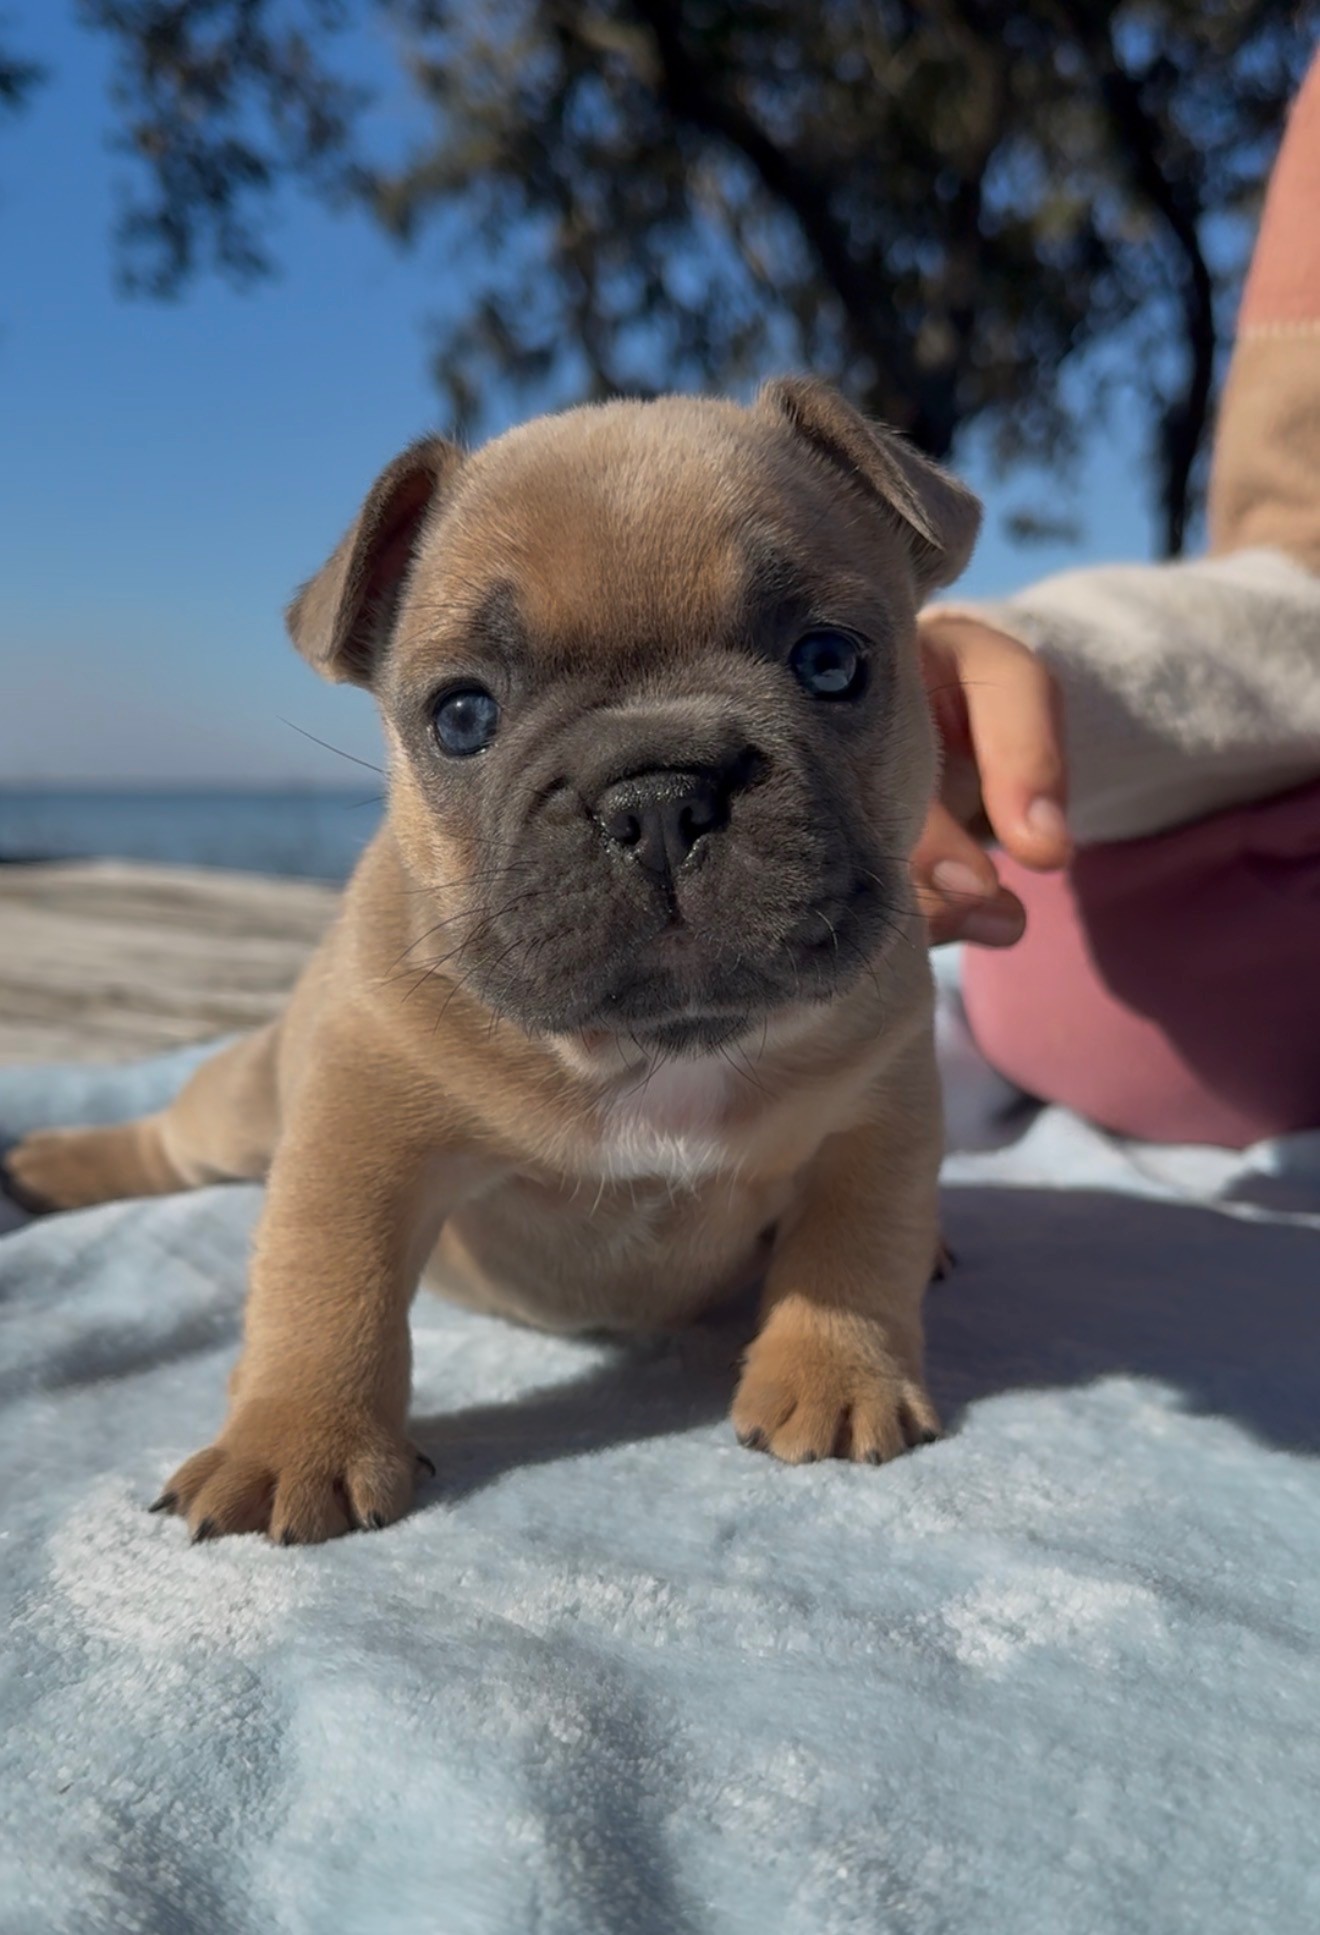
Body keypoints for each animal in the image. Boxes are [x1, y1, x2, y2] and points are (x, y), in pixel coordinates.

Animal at [5, 377, 980, 1544]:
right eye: (463, 716)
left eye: (830, 663)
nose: (659, 794)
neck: (656, 1050)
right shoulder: (357, 1128)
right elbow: (326, 1280)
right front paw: (295, 1442)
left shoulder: (879, 1112)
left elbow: (855, 1246)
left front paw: (837, 1375)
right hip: (244, 1102)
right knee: (174, 1141)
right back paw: (54, 1164)